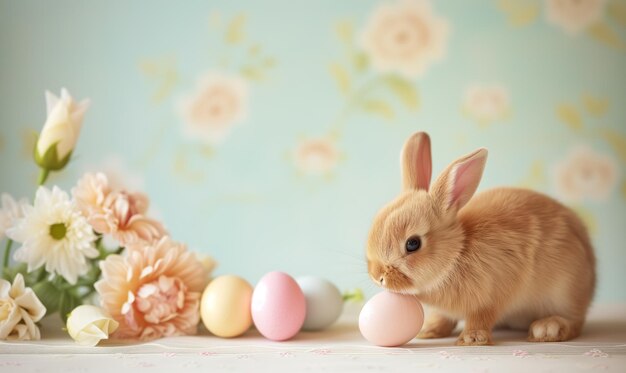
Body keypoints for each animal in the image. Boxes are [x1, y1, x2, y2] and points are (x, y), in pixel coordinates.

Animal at [366, 132, 596, 346]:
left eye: (413, 244)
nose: (378, 277)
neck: (456, 255)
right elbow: (443, 317)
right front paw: (429, 330)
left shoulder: (493, 295)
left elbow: (481, 317)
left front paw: (471, 339)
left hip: (565, 290)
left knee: (575, 321)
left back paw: (548, 328)